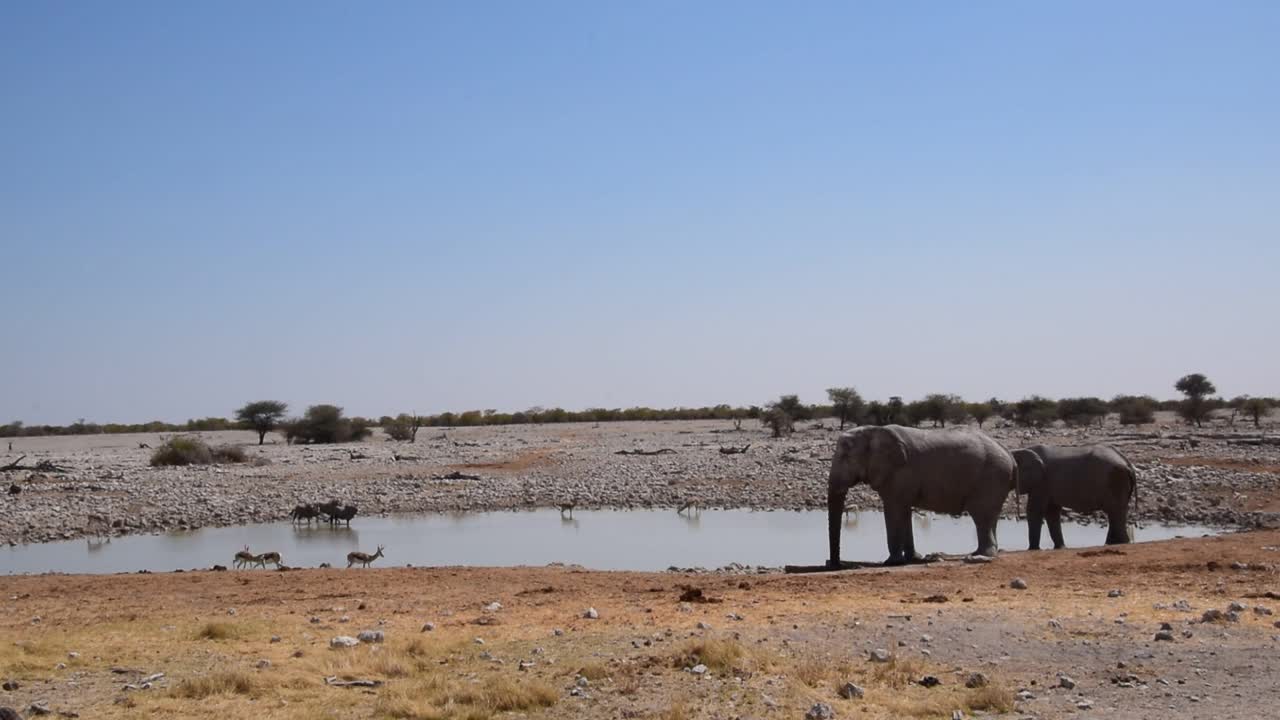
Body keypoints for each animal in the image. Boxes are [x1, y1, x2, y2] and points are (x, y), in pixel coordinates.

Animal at [829, 422, 1018, 563]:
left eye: (845, 456)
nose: (834, 564)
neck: (873, 431)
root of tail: (1009, 455)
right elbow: (904, 512)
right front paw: (913, 558)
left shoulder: (899, 472)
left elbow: (894, 510)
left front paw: (892, 562)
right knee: (989, 518)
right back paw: (979, 553)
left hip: (991, 477)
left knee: (981, 516)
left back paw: (981, 555)